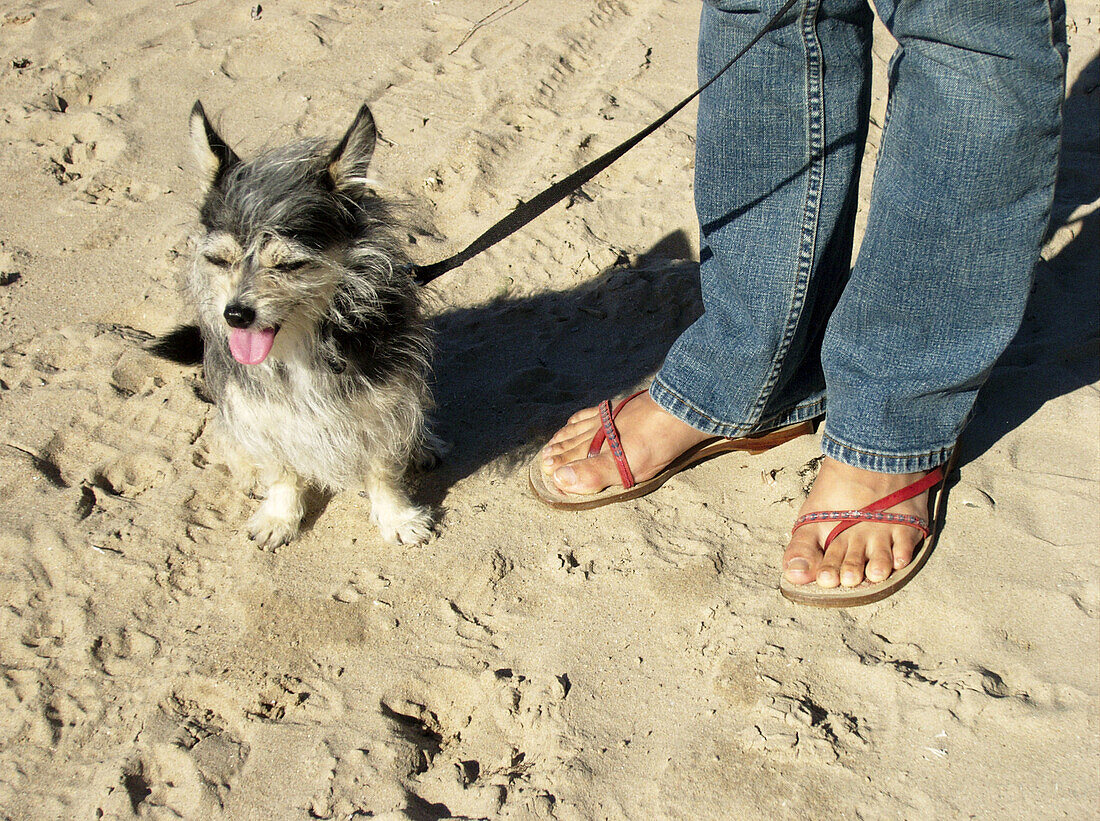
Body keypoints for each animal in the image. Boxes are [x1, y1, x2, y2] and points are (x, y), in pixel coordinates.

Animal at [149, 104, 437, 550]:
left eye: (289, 264)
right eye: (218, 260)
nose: (235, 315)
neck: (298, 345)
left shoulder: (384, 406)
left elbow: (383, 470)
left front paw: (397, 516)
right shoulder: (263, 415)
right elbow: (282, 471)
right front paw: (279, 516)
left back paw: (423, 444)